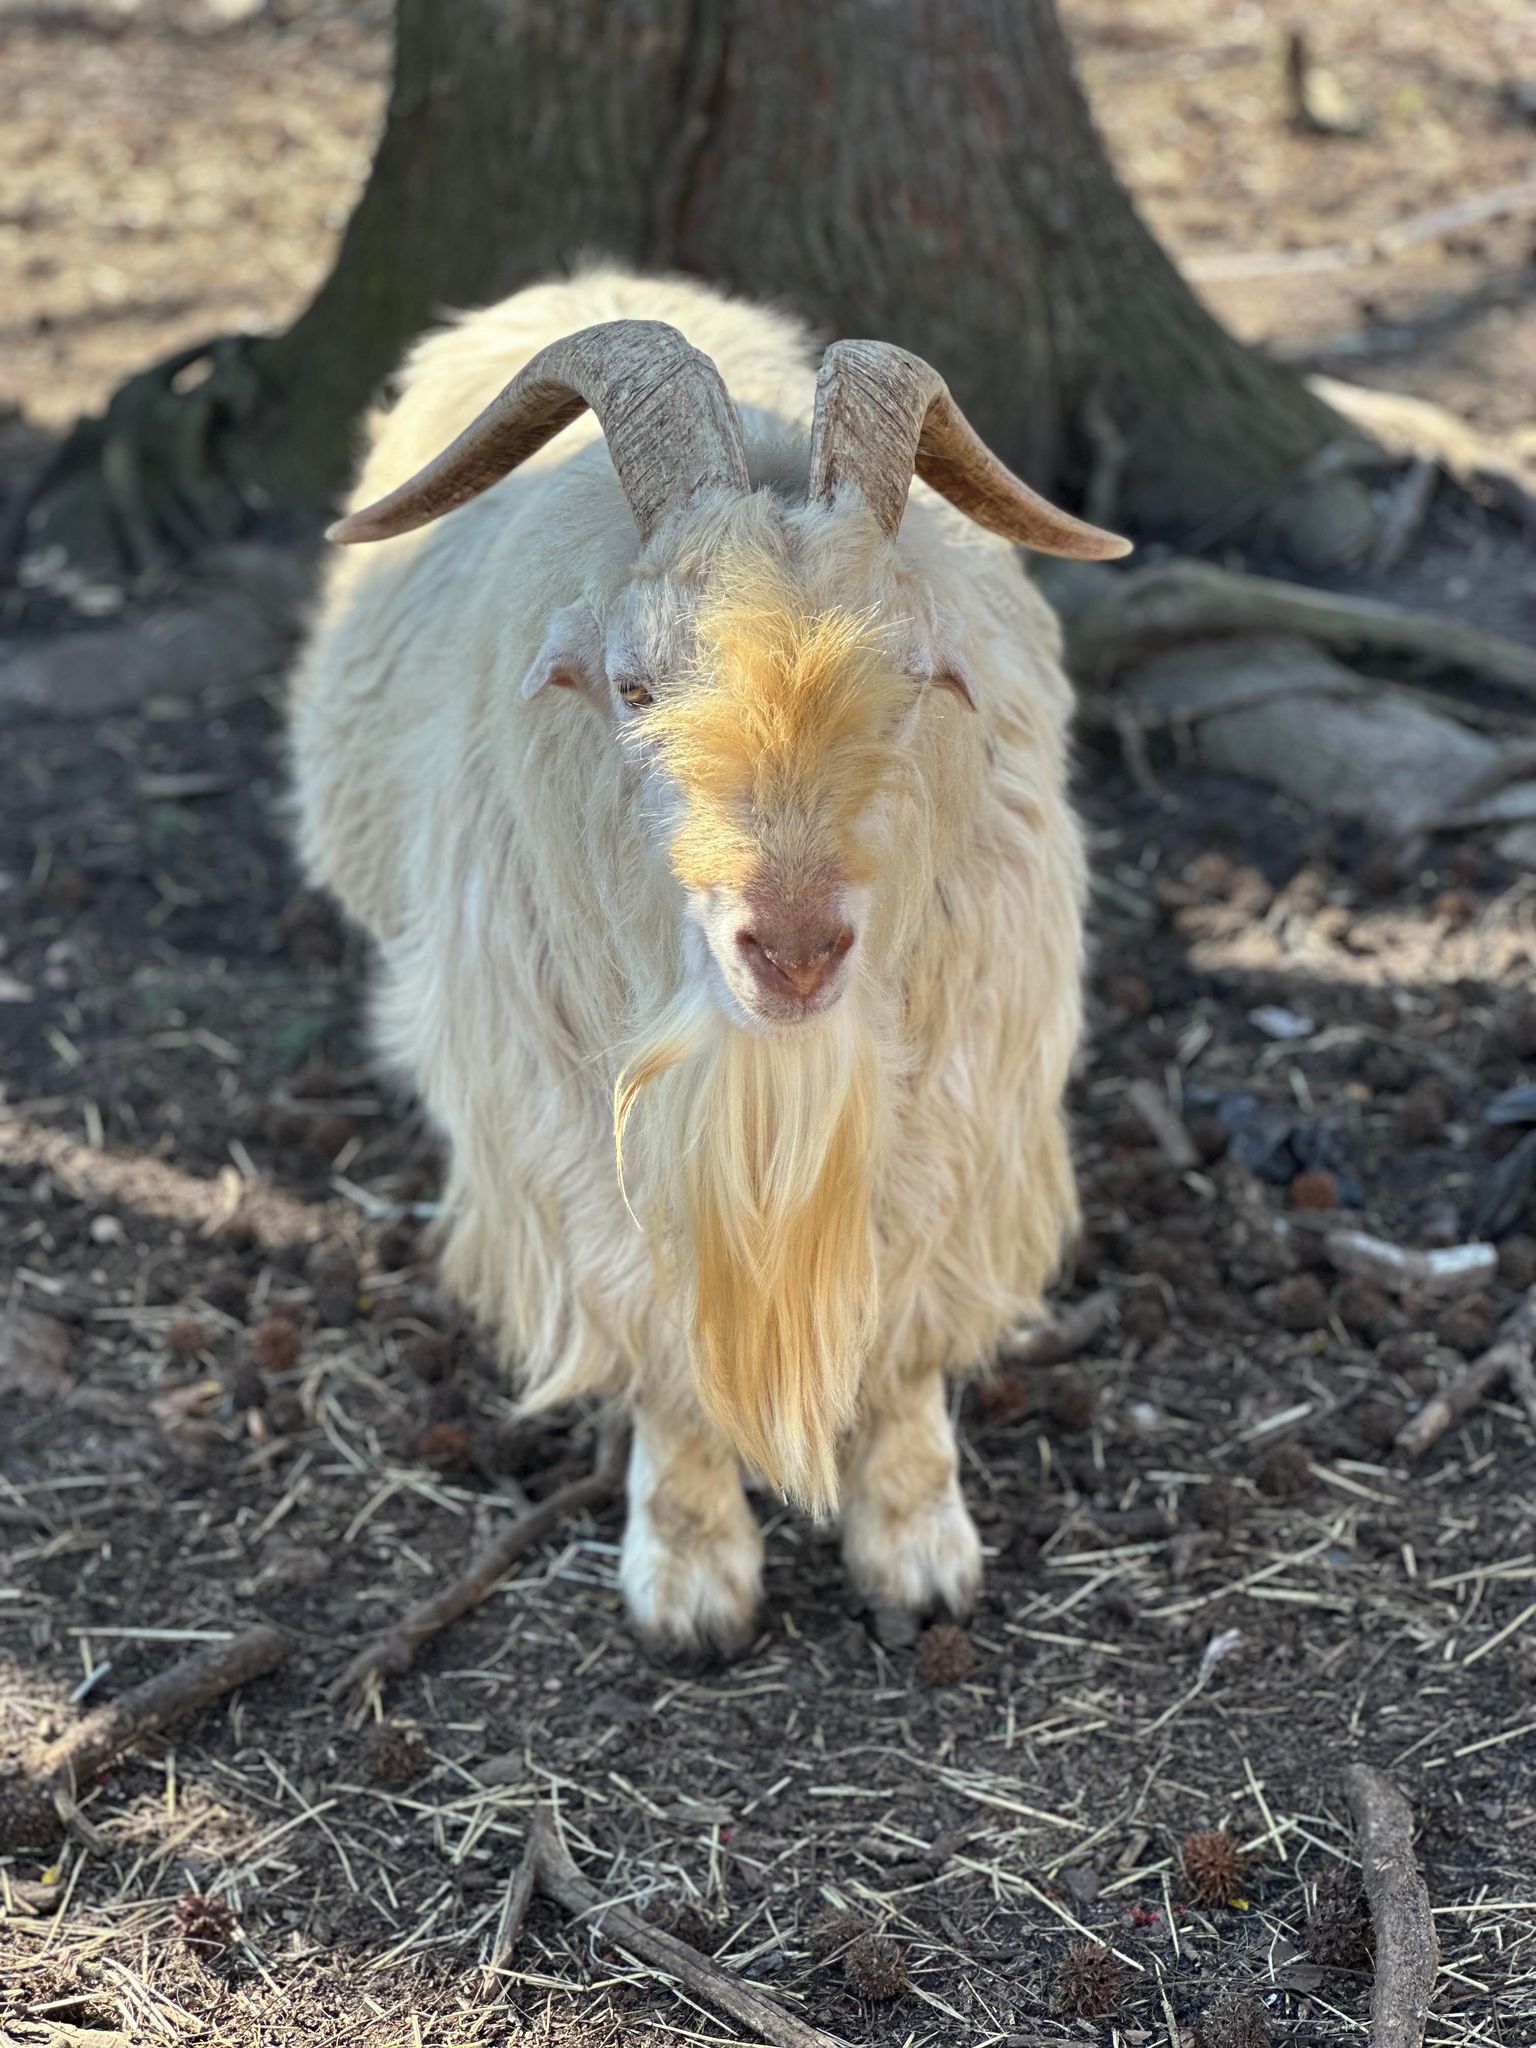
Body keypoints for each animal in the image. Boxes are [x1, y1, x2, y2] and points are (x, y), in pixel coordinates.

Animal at [290, 269, 1129, 1658]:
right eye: (634, 687)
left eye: (915, 681)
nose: (792, 946)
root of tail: (591, 274)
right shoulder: (568, 1142)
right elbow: (655, 1339)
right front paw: (690, 1574)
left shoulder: (965, 1114)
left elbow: (910, 1327)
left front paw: (918, 1546)